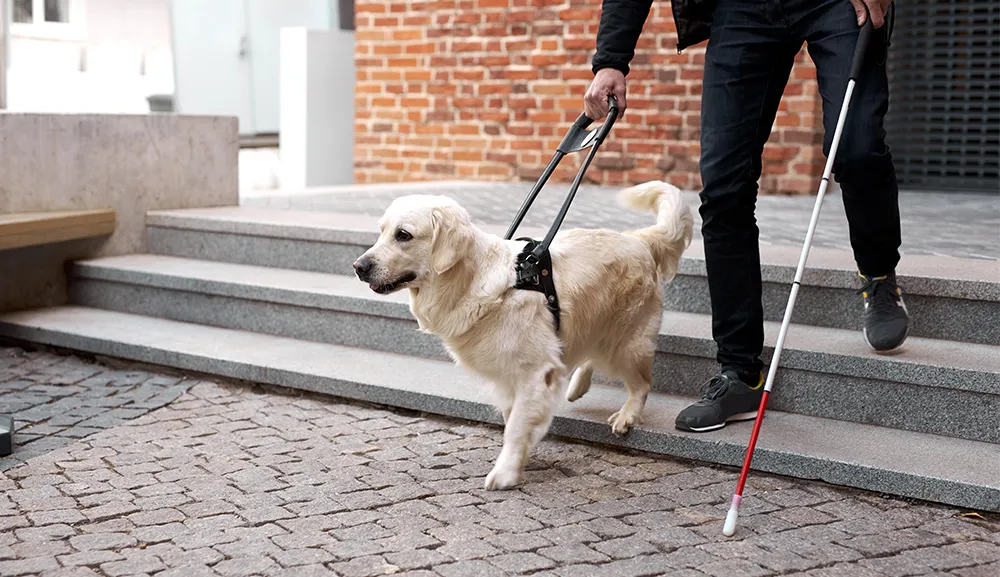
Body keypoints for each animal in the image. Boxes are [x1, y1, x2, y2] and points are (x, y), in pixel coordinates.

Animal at [356, 182, 692, 488]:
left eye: (403, 235)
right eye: (382, 231)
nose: (358, 266)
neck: (473, 283)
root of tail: (639, 239)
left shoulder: (534, 372)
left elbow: (516, 426)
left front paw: (505, 472)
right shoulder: (508, 377)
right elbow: (513, 420)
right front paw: (521, 457)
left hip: (625, 342)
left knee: (642, 383)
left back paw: (627, 415)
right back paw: (577, 386)